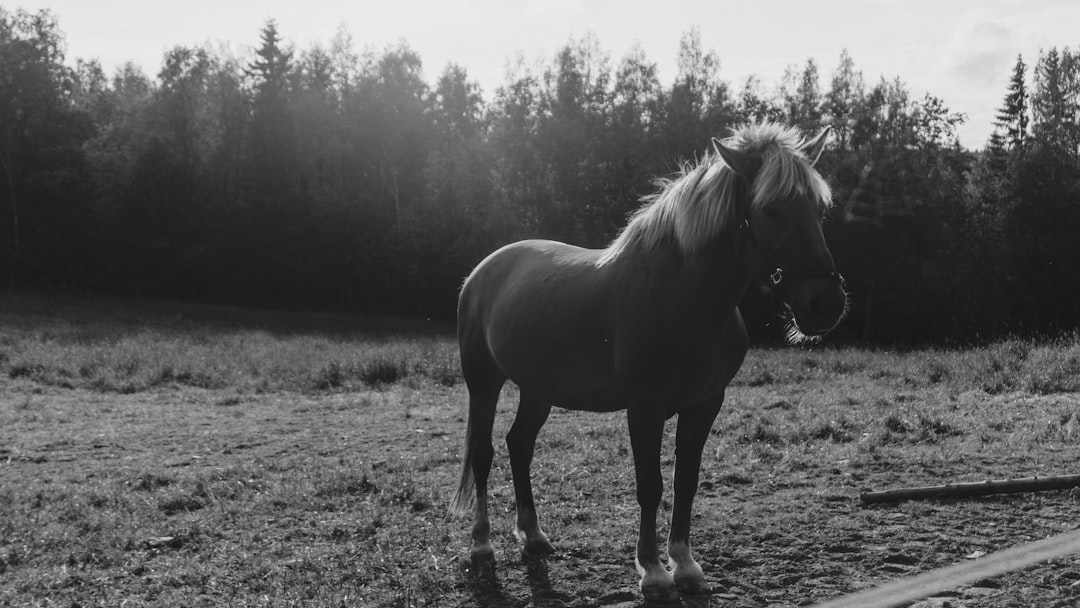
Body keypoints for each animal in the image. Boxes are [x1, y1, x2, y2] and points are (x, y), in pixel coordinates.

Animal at [447, 121, 842, 600]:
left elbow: (686, 482)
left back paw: (534, 537)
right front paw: (653, 572)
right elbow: (650, 486)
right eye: (770, 210)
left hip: (537, 389)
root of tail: (482, 271)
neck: (681, 296)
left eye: (819, 209)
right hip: (483, 381)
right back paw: (481, 545)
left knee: (519, 445)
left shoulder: (704, 405)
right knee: (484, 454)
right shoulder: (645, 409)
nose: (826, 304)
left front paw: (686, 567)